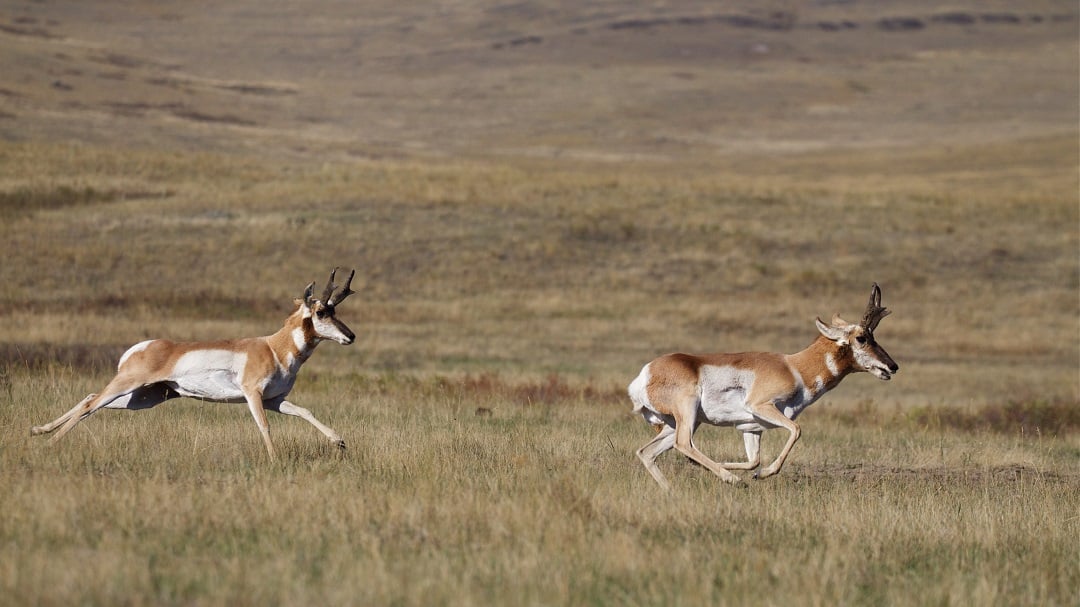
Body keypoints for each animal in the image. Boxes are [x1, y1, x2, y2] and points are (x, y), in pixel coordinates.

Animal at [32, 266, 358, 460]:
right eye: (321, 312)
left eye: (335, 310)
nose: (351, 336)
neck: (273, 347)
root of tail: (146, 346)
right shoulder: (253, 396)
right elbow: (264, 426)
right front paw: (275, 460)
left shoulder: (273, 400)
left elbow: (304, 411)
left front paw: (339, 441)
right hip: (128, 384)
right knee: (91, 403)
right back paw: (49, 443)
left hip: (146, 397)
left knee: (91, 400)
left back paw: (39, 430)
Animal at [630, 282, 898, 486]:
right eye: (862, 338)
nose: (893, 366)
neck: (794, 367)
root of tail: (645, 374)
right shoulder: (761, 407)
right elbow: (796, 430)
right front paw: (762, 474)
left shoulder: (751, 428)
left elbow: (754, 460)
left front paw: (740, 470)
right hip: (688, 412)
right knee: (683, 443)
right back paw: (732, 480)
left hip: (677, 423)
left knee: (647, 452)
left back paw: (672, 489)